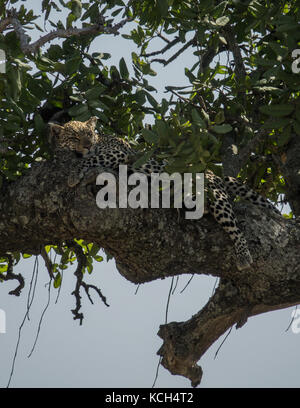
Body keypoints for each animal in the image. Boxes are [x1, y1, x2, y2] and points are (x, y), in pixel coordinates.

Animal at [49, 116, 282, 272]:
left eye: (88, 134)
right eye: (74, 137)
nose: (87, 145)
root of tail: (211, 172)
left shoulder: (120, 154)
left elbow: (89, 159)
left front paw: (73, 173)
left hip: (216, 196)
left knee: (235, 227)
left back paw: (244, 256)